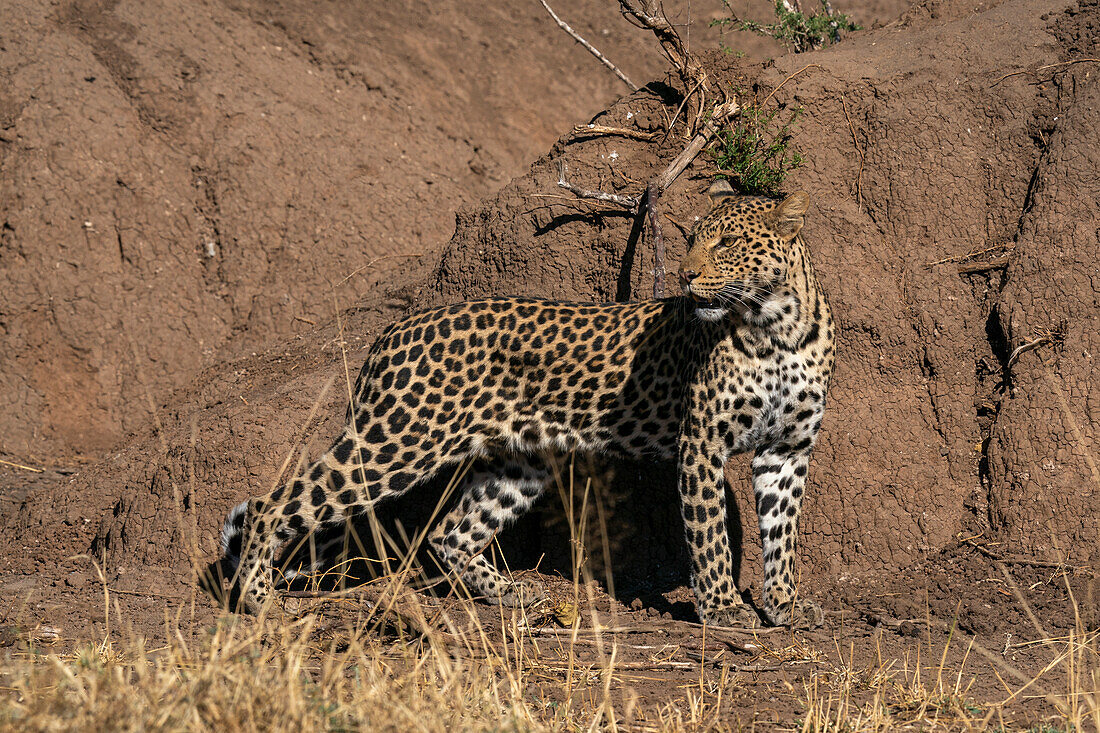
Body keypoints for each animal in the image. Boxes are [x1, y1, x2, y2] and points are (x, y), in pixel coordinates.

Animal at [221, 179, 831, 625]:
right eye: (693, 240)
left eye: (726, 243)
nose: (685, 275)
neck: (774, 328)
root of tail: (392, 331)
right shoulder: (701, 443)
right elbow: (708, 534)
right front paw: (724, 608)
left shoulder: (786, 450)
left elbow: (782, 532)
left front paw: (784, 605)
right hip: (398, 442)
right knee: (273, 505)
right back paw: (256, 599)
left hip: (518, 462)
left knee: (449, 533)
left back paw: (515, 596)